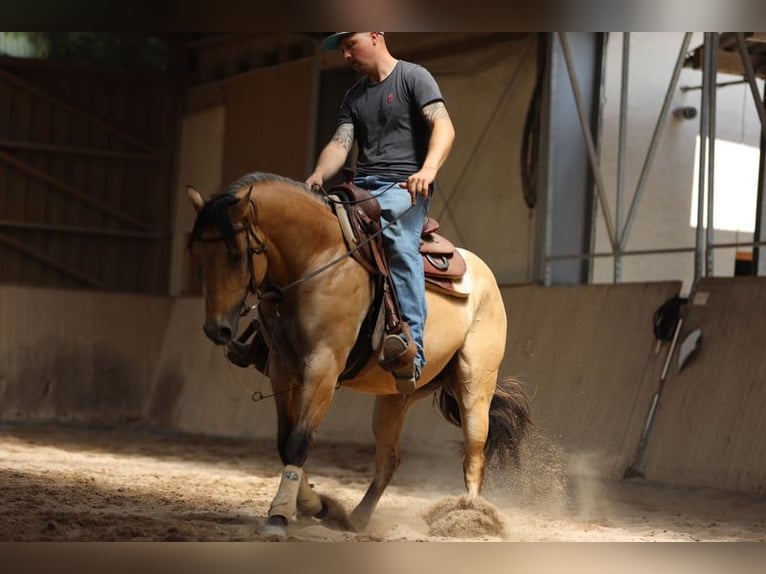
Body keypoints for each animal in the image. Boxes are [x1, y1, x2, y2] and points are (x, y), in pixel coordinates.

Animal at [186, 172, 531, 538]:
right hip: (397, 397)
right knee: (389, 459)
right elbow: (284, 440)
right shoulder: (282, 370)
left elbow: (299, 441)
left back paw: (470, 519)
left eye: (236, 254)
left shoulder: (322, 369)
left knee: (474, 454)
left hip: (474, 383)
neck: (318, 260)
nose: (217, 329)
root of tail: (485, 277)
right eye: (198, 255)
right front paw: (314, 505)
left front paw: (280, 515)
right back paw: (357, 518)